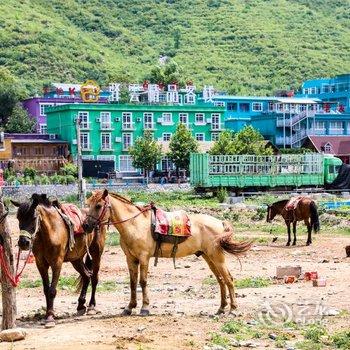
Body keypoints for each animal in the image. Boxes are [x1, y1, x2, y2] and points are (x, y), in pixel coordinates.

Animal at [11, 194, 106, 328]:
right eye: (18, 218)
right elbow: (46, 290)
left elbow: (52, 290)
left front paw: (50, 317)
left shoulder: (57, 263)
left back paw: (92, 306)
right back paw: (81, 305)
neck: (50, 232)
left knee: (94, 278)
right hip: (76, 259)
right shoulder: (41, 264)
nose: (23, 242)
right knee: (87, 276)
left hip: (96, 254)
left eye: (34, 217)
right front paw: (47, 314)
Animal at [82, 190, 252, 316]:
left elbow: (143, 282)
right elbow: (132, 282)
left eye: (98, 205)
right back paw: (221, 308)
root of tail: (219, 223)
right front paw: (129, 307)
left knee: (228, 279)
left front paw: (145, 308)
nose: (85, 226)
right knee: (221, 280)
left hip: (217, 257)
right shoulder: (130, 259)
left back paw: (233, 309)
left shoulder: (144, 258)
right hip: (208, 257)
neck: (134, 224)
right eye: (88, 204)